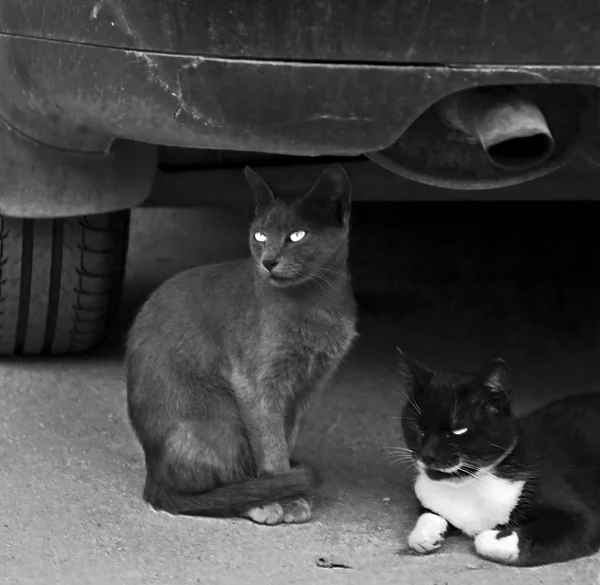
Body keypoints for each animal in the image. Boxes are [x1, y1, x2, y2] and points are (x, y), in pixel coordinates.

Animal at [123, 165, 354, 524]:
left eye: (297, 235)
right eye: (260, 236)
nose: (268, 261)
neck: (316, 304)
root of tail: (152, 475)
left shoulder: (305, 388)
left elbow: (286, 438)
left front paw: (292, 492)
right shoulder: (256, 383)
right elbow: (271, 447)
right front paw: (286, 496)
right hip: (220, 416)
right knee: (200, 488)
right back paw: (257, 502)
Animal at [398, 352, 600, 564]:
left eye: (459, 429)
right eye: (417, 427)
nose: (427, 455)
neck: (467, 485)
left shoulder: (583, 517)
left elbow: (482, 540)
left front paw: (491, 535)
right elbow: (428, 514)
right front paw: (423, 536)